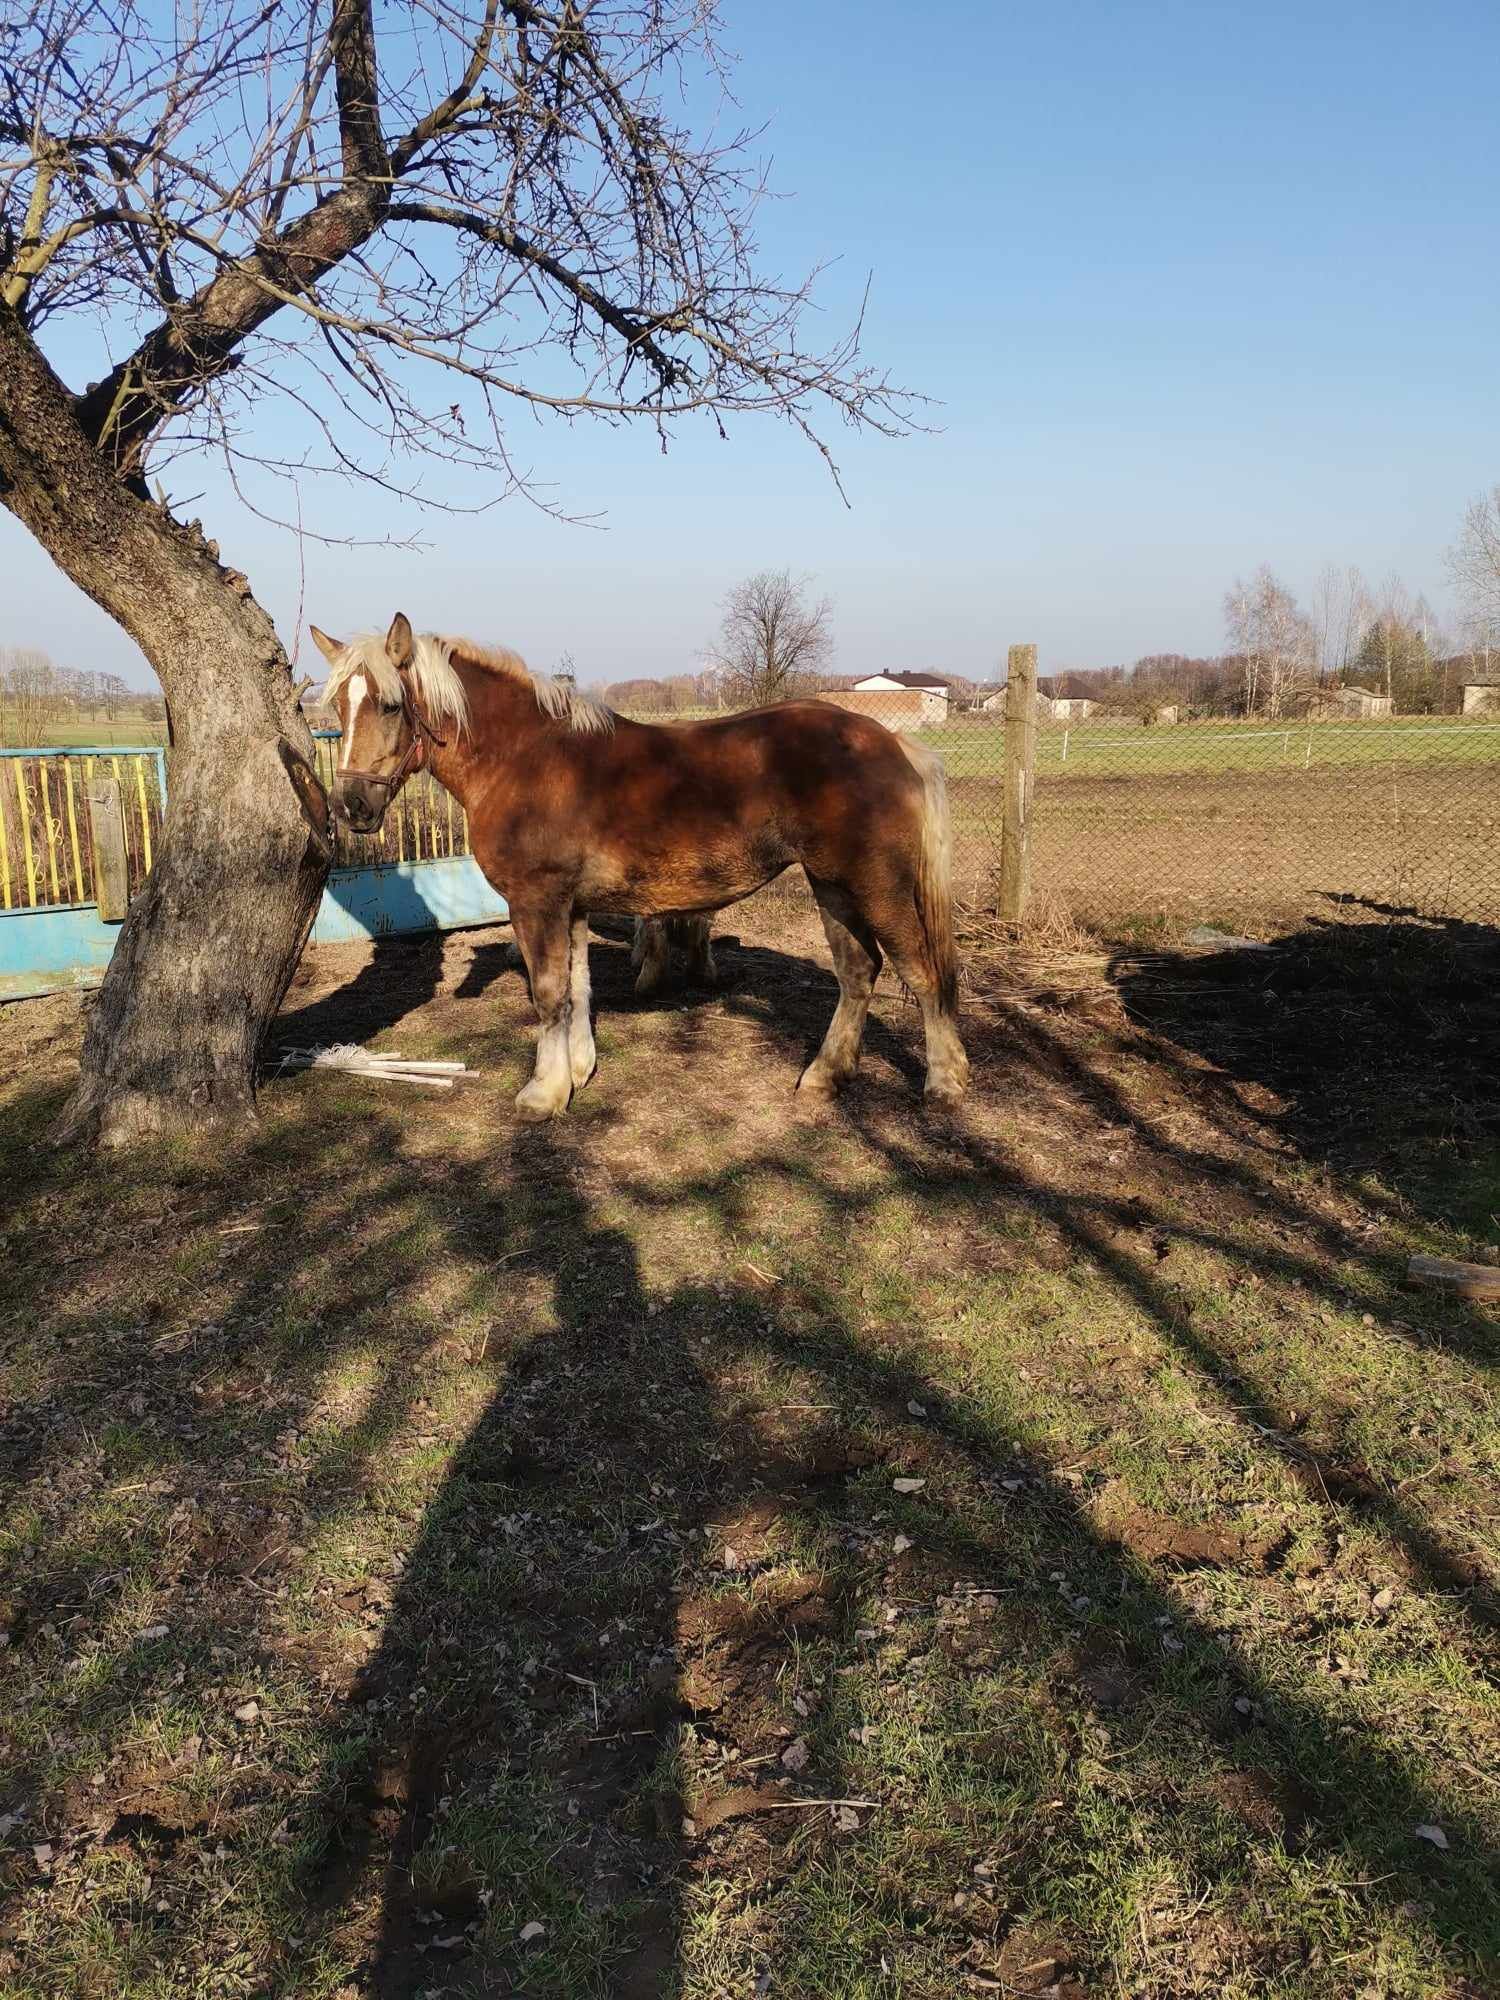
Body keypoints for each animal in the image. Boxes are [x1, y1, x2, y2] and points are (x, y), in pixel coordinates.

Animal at [314, 616, 976, 1120]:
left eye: (392, 706)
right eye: (339, 710)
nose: (352, 807)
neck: (526, 758)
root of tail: (893, 744)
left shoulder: (537, 903)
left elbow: (549, 994)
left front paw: (542, 1093)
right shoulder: (572, 907)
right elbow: (578, 987)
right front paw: (578, 1072)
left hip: (877, 885)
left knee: (922, 973)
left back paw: (945, 1082)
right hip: (831, 884)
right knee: (858, 973)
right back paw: (824, 1074)